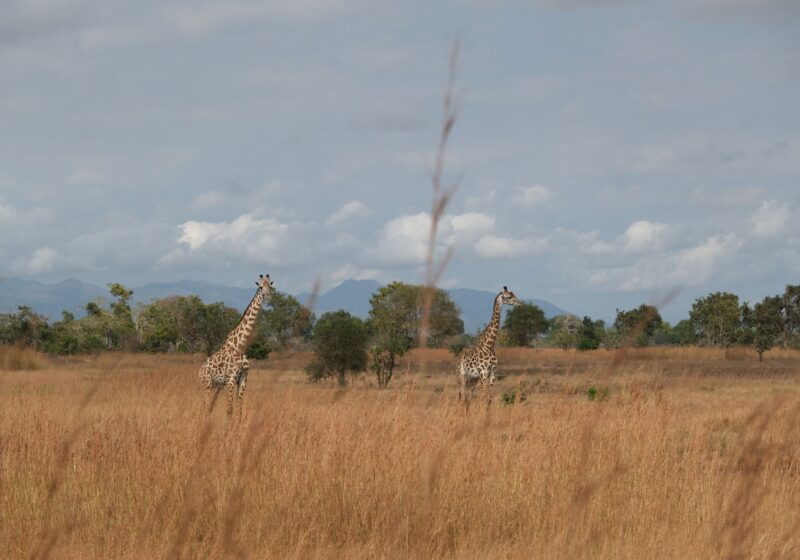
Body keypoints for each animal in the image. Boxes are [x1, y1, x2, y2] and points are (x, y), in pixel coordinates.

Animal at [199, 274, 274, 417]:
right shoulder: (231, 379)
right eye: (261, 287)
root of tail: (199, 370)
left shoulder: (243, 379)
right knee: (204, 407)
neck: (241, 346)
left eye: (270, 286)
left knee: (209, 407)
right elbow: (229, 410)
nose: (268, 297)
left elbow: (239, 409)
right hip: (207, 383)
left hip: (216, 385)